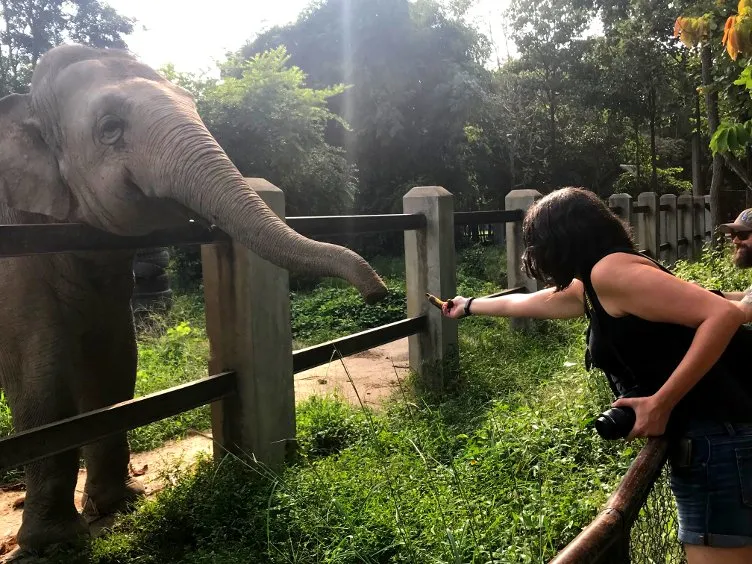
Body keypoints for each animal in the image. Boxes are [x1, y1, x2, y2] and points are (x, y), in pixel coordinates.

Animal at [0, 44, 388, 560]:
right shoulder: (16, 266)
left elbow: (115, 364)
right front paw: (53, 544)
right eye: (109, 128)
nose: (379, 292)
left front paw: (121, 505)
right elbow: (42, 379)